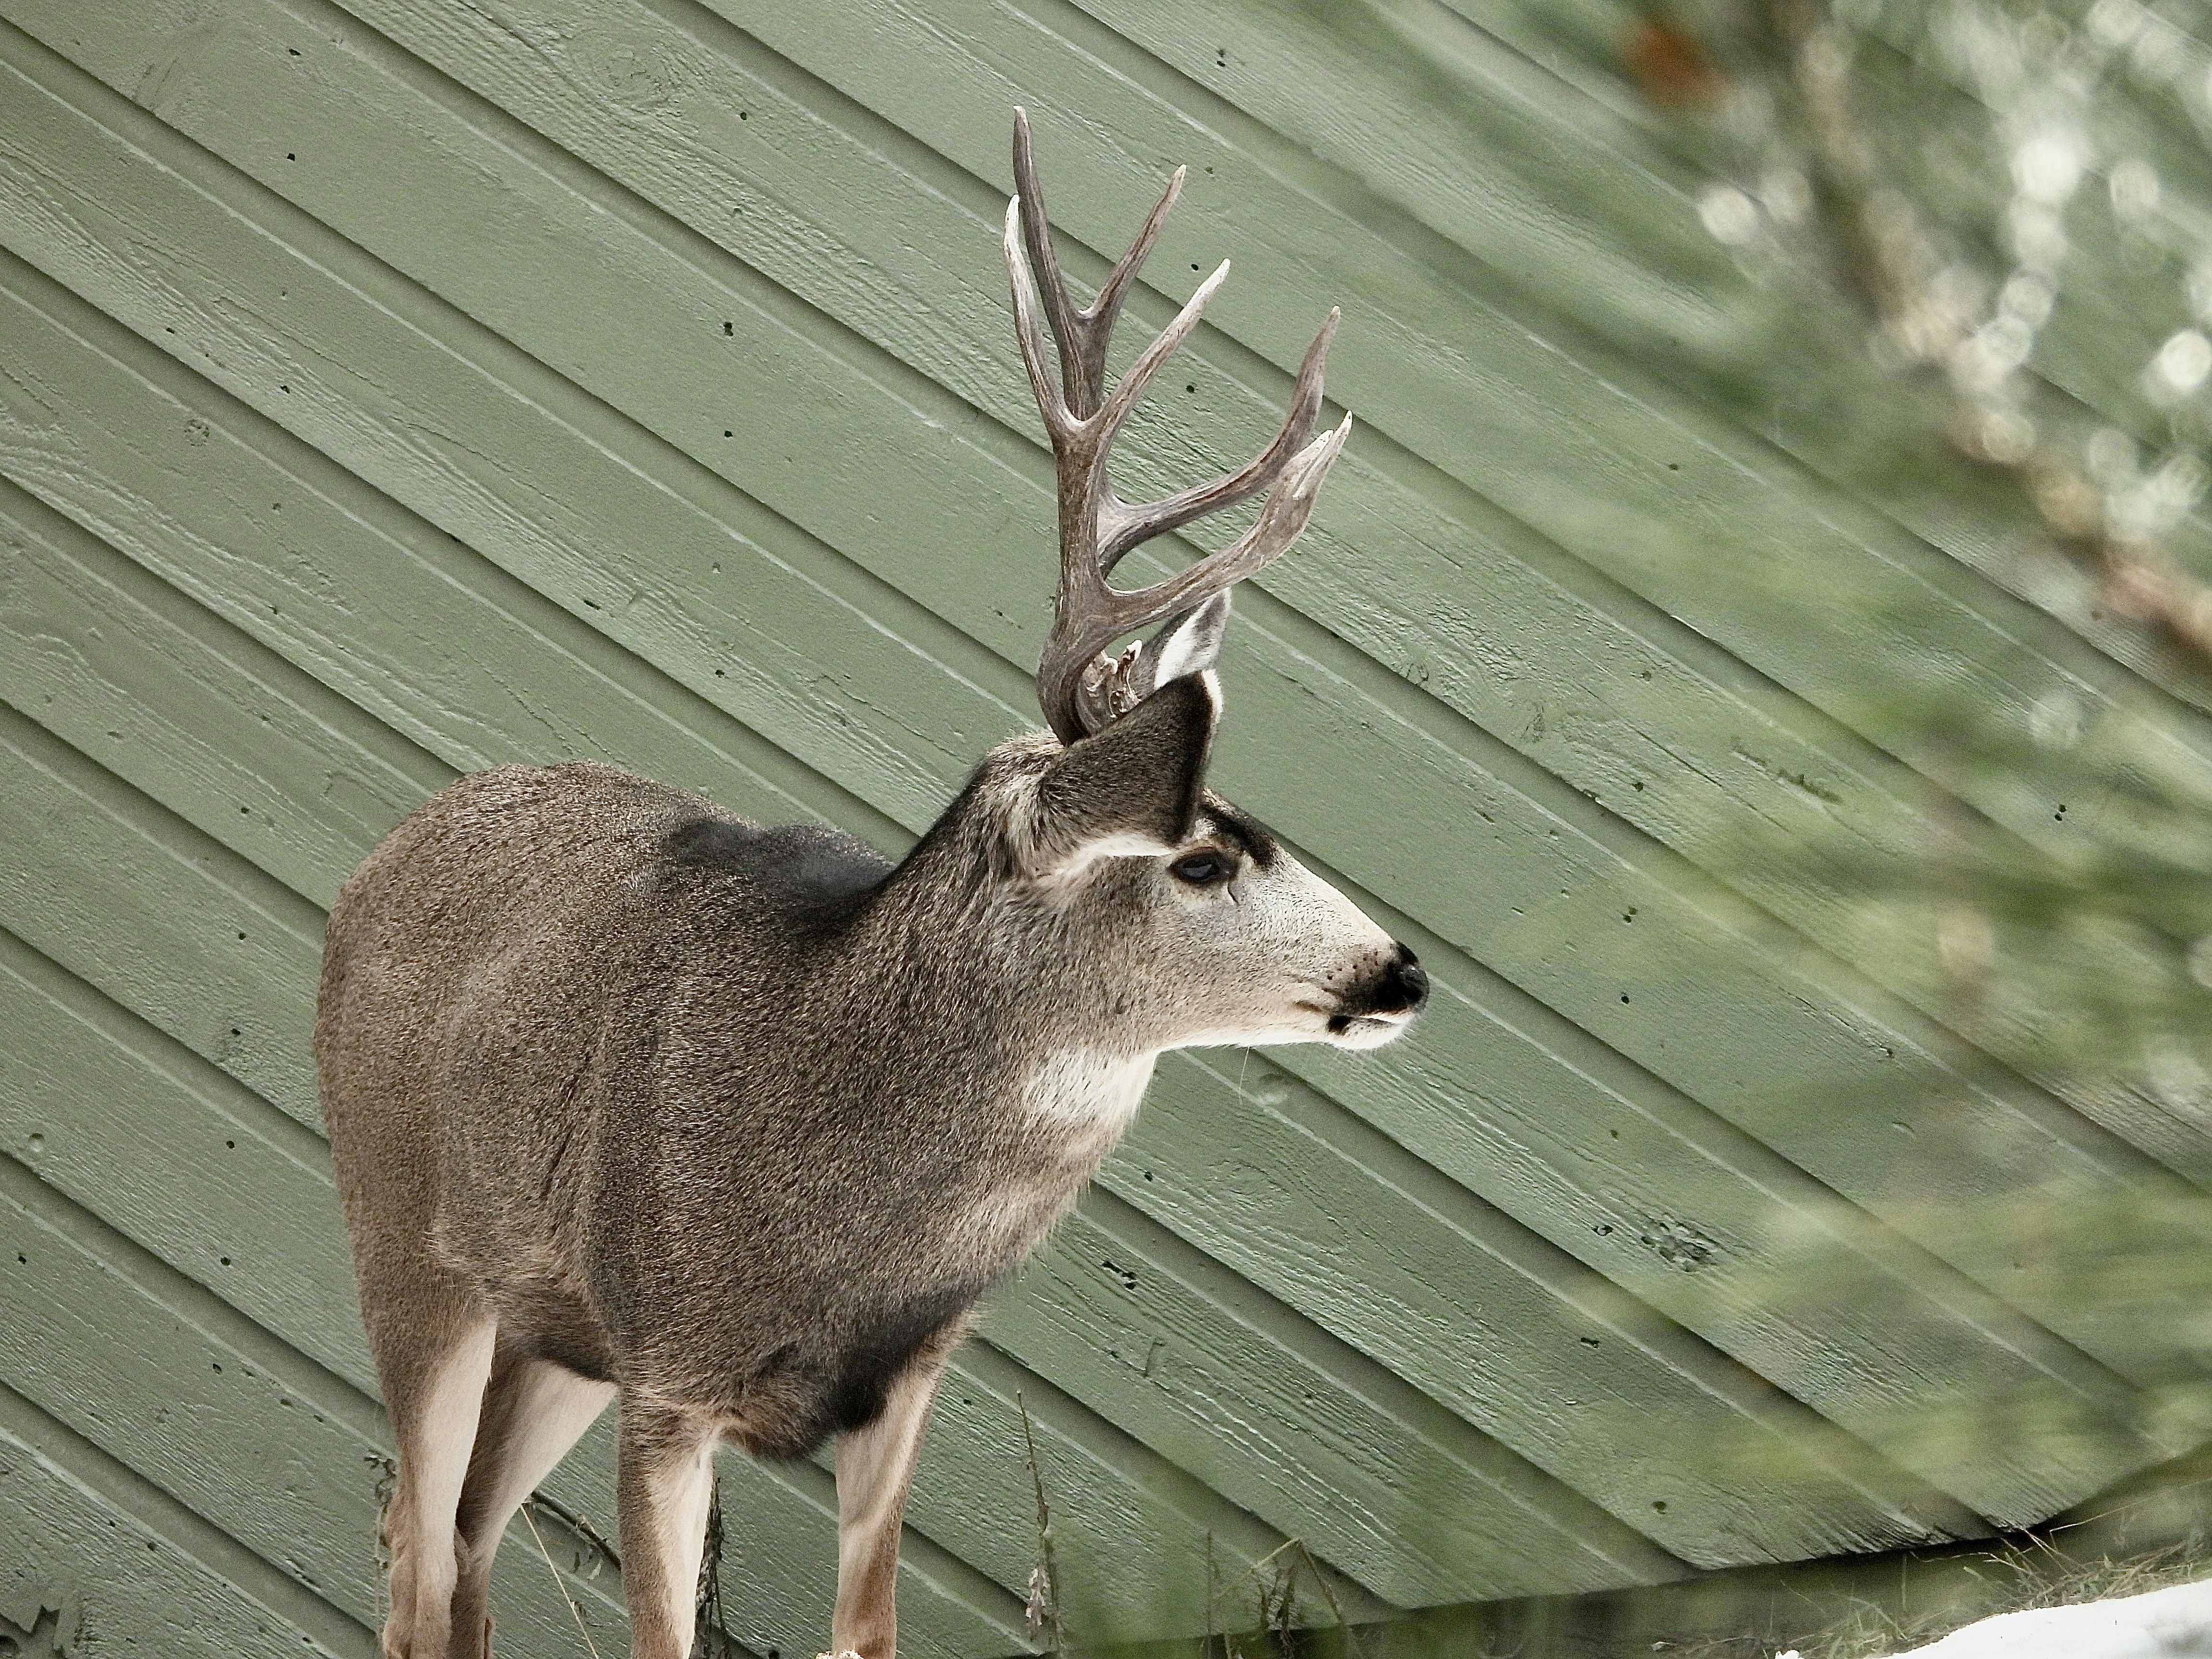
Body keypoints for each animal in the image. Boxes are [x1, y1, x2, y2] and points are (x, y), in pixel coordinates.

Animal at [314, 109, 1429, 1659]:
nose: (1404, 971)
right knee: (418, 1551)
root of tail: (395, 844)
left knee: (461, 1547)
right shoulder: (670, 1378)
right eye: (1201, 856)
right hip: (405, 1224)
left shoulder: (900, 1393)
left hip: (556, 1336)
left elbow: (869, 1629)